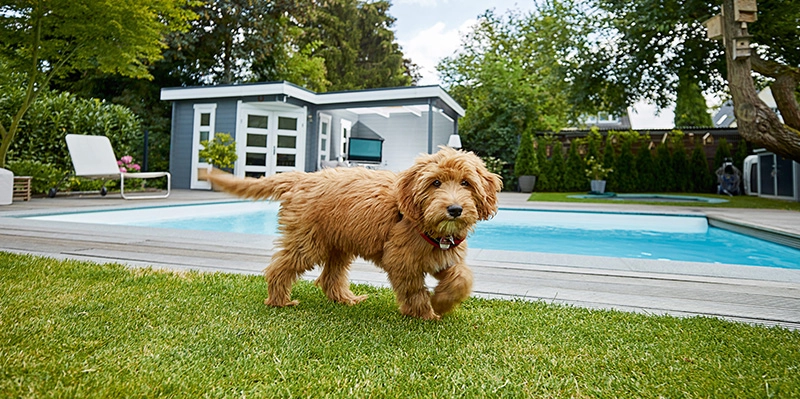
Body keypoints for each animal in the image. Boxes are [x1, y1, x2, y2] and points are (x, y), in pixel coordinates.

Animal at [200, 148, 500, 320]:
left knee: (329, 277)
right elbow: (413, 290)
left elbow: (462, 277)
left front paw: (442, 302)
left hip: (337, 244)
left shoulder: (445, 255)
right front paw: (425, 312)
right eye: (435, 182)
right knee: (279, 267)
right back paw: (279, 301)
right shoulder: (402, 261)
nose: (455, 209)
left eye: (466, 183)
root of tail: (303, 177)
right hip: (307, 242)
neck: (423, 223)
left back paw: (346, 299)